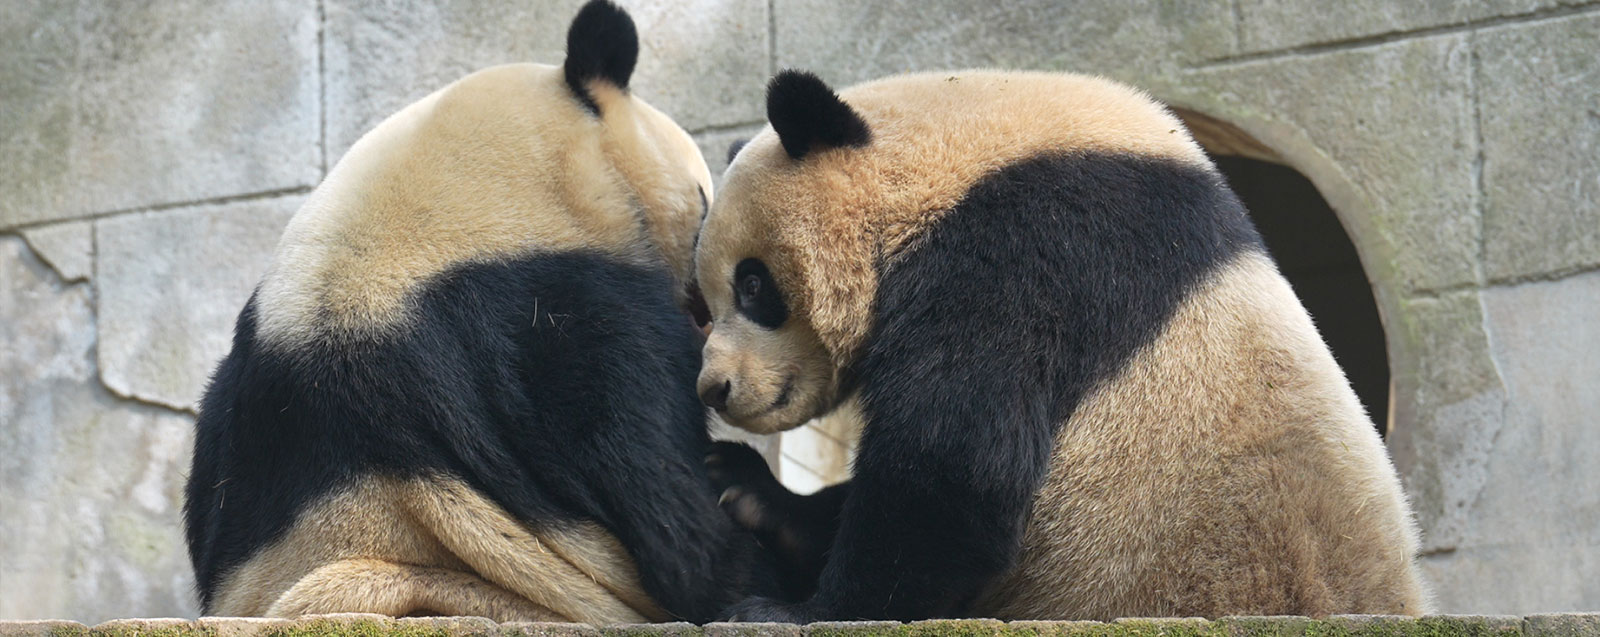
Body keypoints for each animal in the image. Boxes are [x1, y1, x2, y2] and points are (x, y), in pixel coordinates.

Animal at [694, 69, 1430, 622]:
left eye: (753, 285)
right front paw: (747, 486)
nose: (716, 388)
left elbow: (954, 466)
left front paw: (799, 612)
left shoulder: (1032, 248)